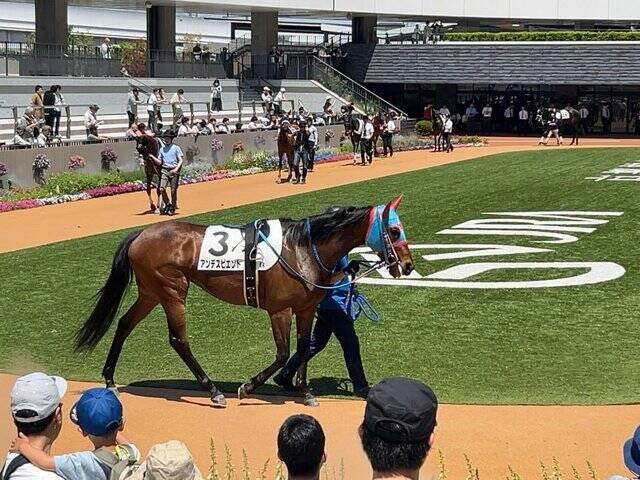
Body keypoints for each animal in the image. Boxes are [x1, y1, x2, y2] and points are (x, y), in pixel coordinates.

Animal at [74, 197, 414, 408]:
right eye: (395, 229)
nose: (408, 266)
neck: (303, 248)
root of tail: (141, 233)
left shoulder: (306, 309)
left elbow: (304, 348)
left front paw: (305, 391)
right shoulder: (279, 310)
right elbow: (283, 353)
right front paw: (247, 387)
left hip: (150, 292)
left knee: (124, 324)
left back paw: (109, 378)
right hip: (172, 290)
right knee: (178, 339)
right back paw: (213, 391)